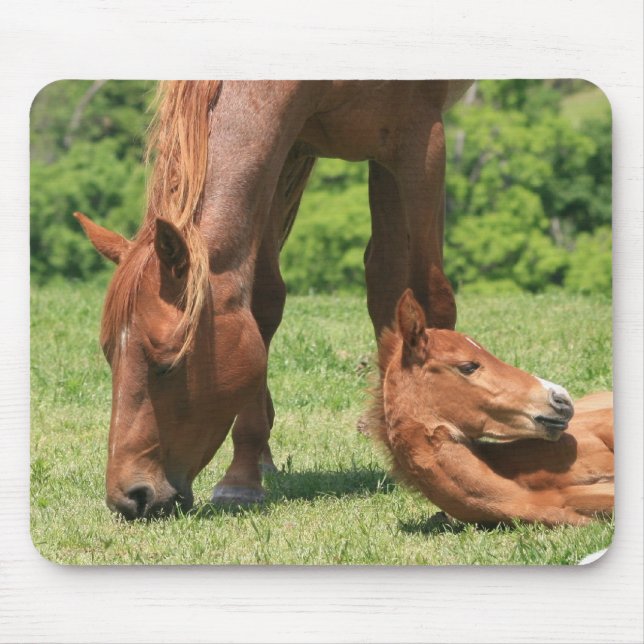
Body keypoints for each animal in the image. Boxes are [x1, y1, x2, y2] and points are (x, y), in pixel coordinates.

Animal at [75, 80, 473, 519]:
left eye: (167, 364)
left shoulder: (422, 140)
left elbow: (432, 293)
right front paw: (242, 478)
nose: (130, 498)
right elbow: (263, 304)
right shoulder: (283, 151)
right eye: (109, 356)